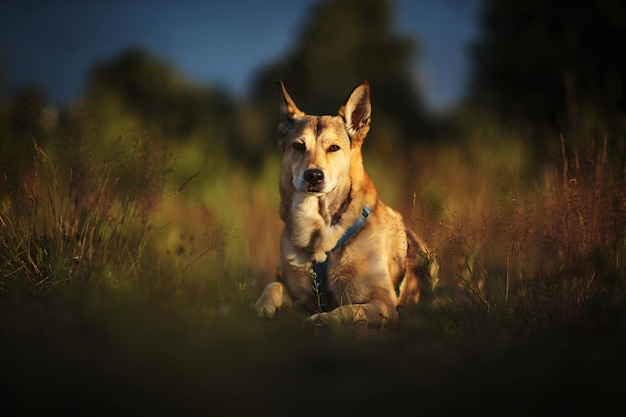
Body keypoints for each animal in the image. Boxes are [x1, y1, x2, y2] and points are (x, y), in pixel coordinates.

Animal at [251, 79, 436, 324]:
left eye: (334, 148)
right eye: (298, 146)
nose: (314, 176)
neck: (320, 236)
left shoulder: (384, 304)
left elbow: (350, 310)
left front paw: (323, 318)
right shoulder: (298, 295)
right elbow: (273, 286)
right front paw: (260, 307)